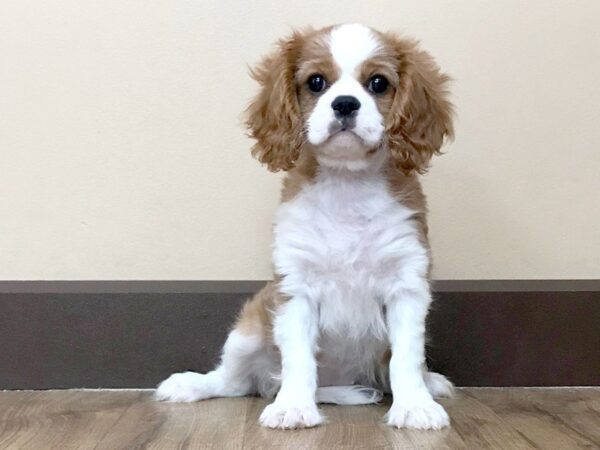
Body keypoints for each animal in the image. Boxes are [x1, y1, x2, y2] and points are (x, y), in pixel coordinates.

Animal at [155, 22, 454, 430]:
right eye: (316, 82)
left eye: (378, 83)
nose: (345, 103)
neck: (347, 184)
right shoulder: (296, 290)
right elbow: (298, 360)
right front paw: (293, 406)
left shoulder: (406, 286)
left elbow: (406, 358)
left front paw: (415, 405)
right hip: (249, 328)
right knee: (236, 382)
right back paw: (191, 385)